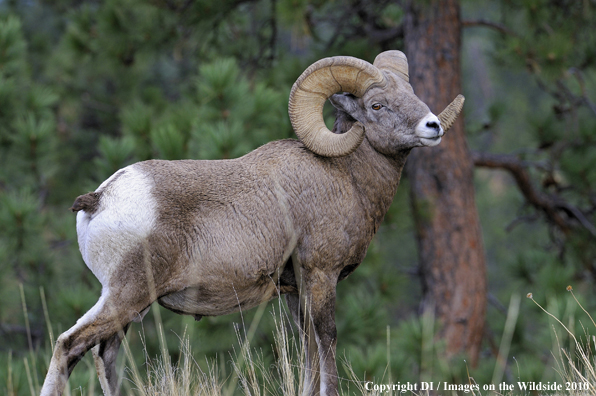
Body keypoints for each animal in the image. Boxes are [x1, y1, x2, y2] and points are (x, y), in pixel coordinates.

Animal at [42, 50, 466, 396]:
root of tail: (100, 198)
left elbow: (309, 354)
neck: (345, 176)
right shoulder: (321, 275)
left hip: (129, 307)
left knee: (104, 357)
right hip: (125, 295)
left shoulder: (296, 292)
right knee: (68, 345)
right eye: (377, 105)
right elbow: (326, 342)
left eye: (412, 93)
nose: (432, 126)